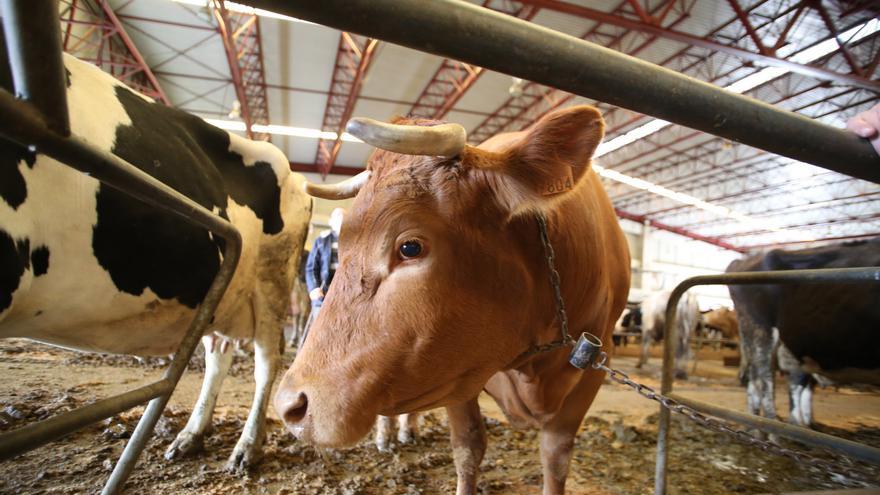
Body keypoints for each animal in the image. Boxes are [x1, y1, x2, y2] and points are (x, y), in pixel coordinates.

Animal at [0, 51, 312, 472]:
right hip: (225, 288)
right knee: (218, 355)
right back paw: (192, 434)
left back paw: (247, 445)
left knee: (266, 360)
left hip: (273, 281)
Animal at [272, 105, 628, 495]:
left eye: (410, 247)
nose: (289, 405)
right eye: (343, 246)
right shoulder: (457, 372)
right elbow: (468, 447)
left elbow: (556, 457)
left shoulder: (595, 364)